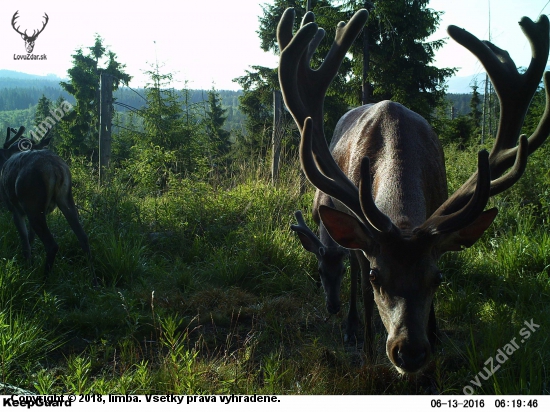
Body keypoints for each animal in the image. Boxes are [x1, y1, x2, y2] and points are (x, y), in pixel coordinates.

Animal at [0, 127, 96, 284]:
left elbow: (25, 241)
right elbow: (31, 238)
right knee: (83, 237)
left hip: (33, 201)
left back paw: (43, 280)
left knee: (52, 245)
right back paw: (94, 280)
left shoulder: (15, 209)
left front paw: (27, 267)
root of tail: (55, 168)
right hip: (66, 199)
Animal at [280, 7, 550, 374]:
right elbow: (364, 292)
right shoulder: (366, 251)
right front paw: (368, 352)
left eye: (437, 278)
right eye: (378, 276)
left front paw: (434, 342)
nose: (409, 353)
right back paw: (351, 327)